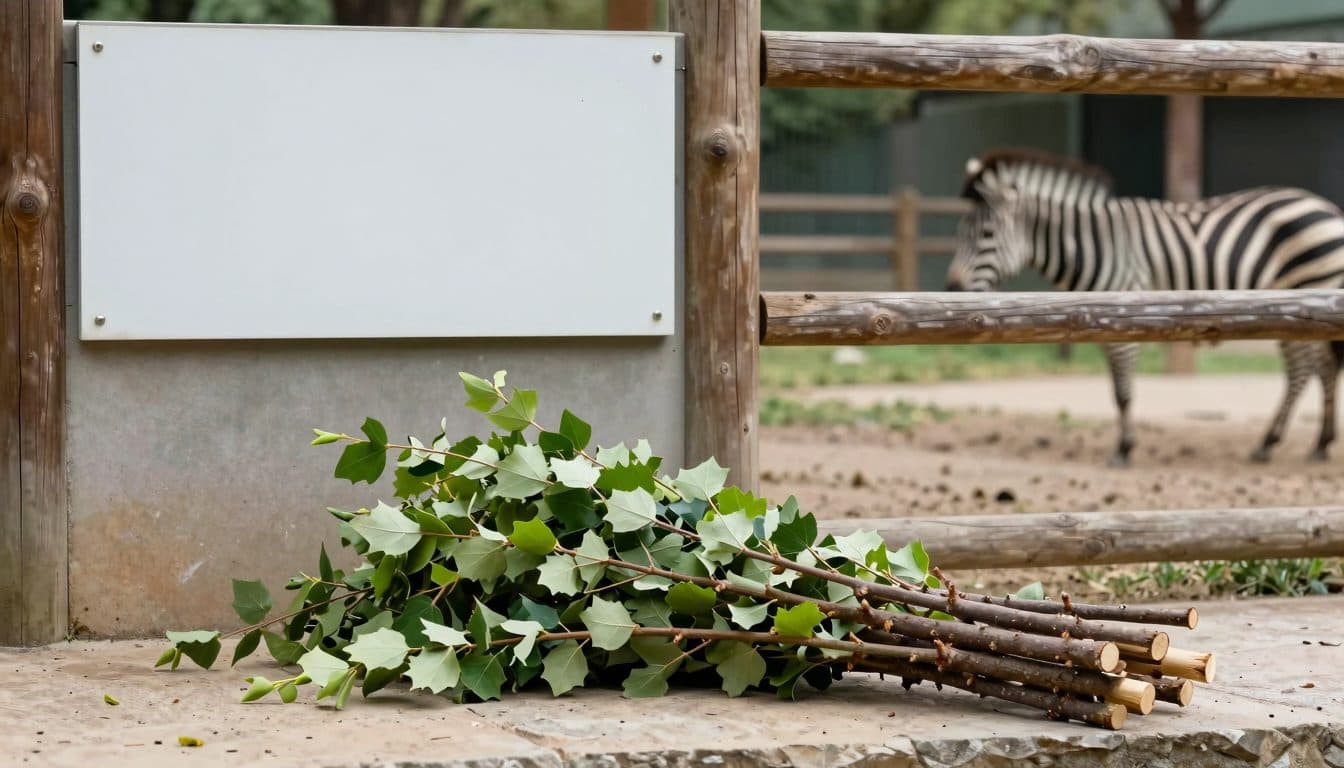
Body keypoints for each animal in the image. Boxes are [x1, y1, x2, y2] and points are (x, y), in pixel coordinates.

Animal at [945, 148, 1344, 467]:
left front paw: (1123, 449)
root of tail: (1325, 205)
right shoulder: (1097, 322)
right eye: (961, 231)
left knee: (1309, 368)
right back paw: (1313, 443)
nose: (952, 288)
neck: (1090, 244)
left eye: (985, 235)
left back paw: (1279, 442)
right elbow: (1115, 389)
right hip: (1297, 308)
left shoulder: (1124, 313)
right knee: (1316, 367)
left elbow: (1122, 392)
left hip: (1309, 289)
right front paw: (1124, 444)